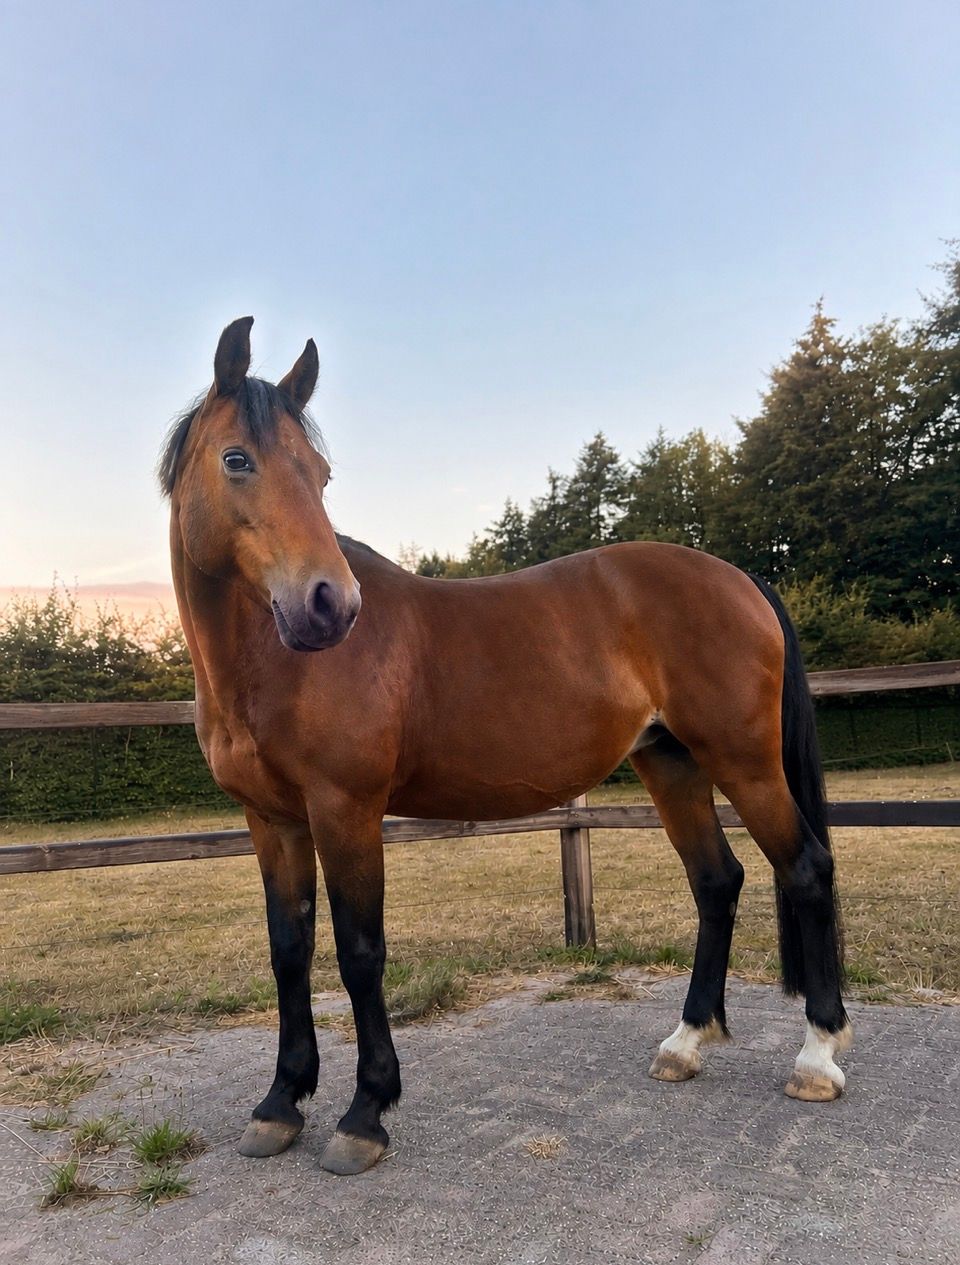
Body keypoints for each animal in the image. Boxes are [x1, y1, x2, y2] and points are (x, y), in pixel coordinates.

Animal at [160, 317, 850, 1176]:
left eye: (320, 474)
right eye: (238, 459)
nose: (330, 604)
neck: (269, 661)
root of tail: (742, 578)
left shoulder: (345, 811)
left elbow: (359, 952)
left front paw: (365, 1113)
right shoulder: (272, 821)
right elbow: (290, 950)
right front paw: (280, 1102)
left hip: (745, 762)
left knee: (806, 869)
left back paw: (817, 1057)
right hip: (672, 763)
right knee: (717, 881)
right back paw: (685, 1043)